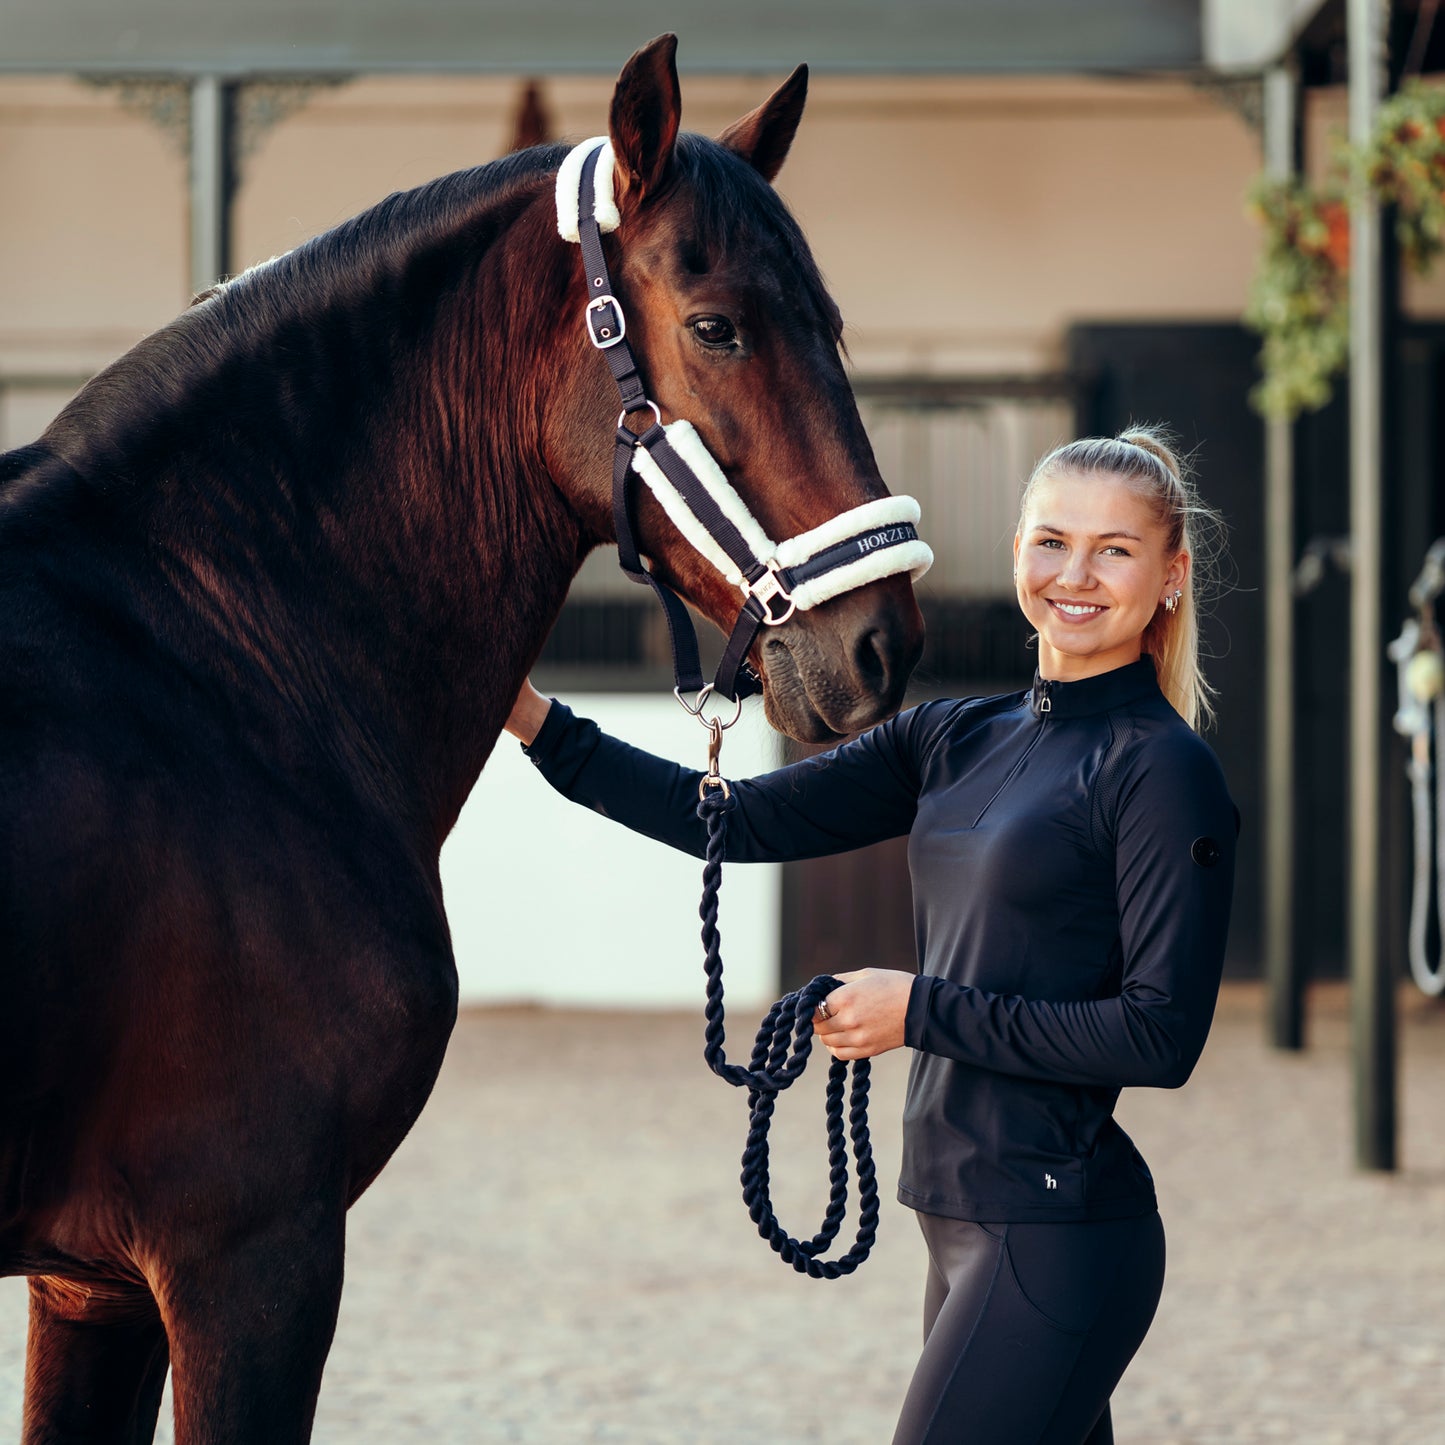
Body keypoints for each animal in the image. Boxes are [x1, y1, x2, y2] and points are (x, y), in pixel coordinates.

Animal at [0, 36, 924, 1445]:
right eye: (716, 325)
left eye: (829, 324)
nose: (882, 644)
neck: (204, 657)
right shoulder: (246, 1255)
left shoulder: (90, 1283)